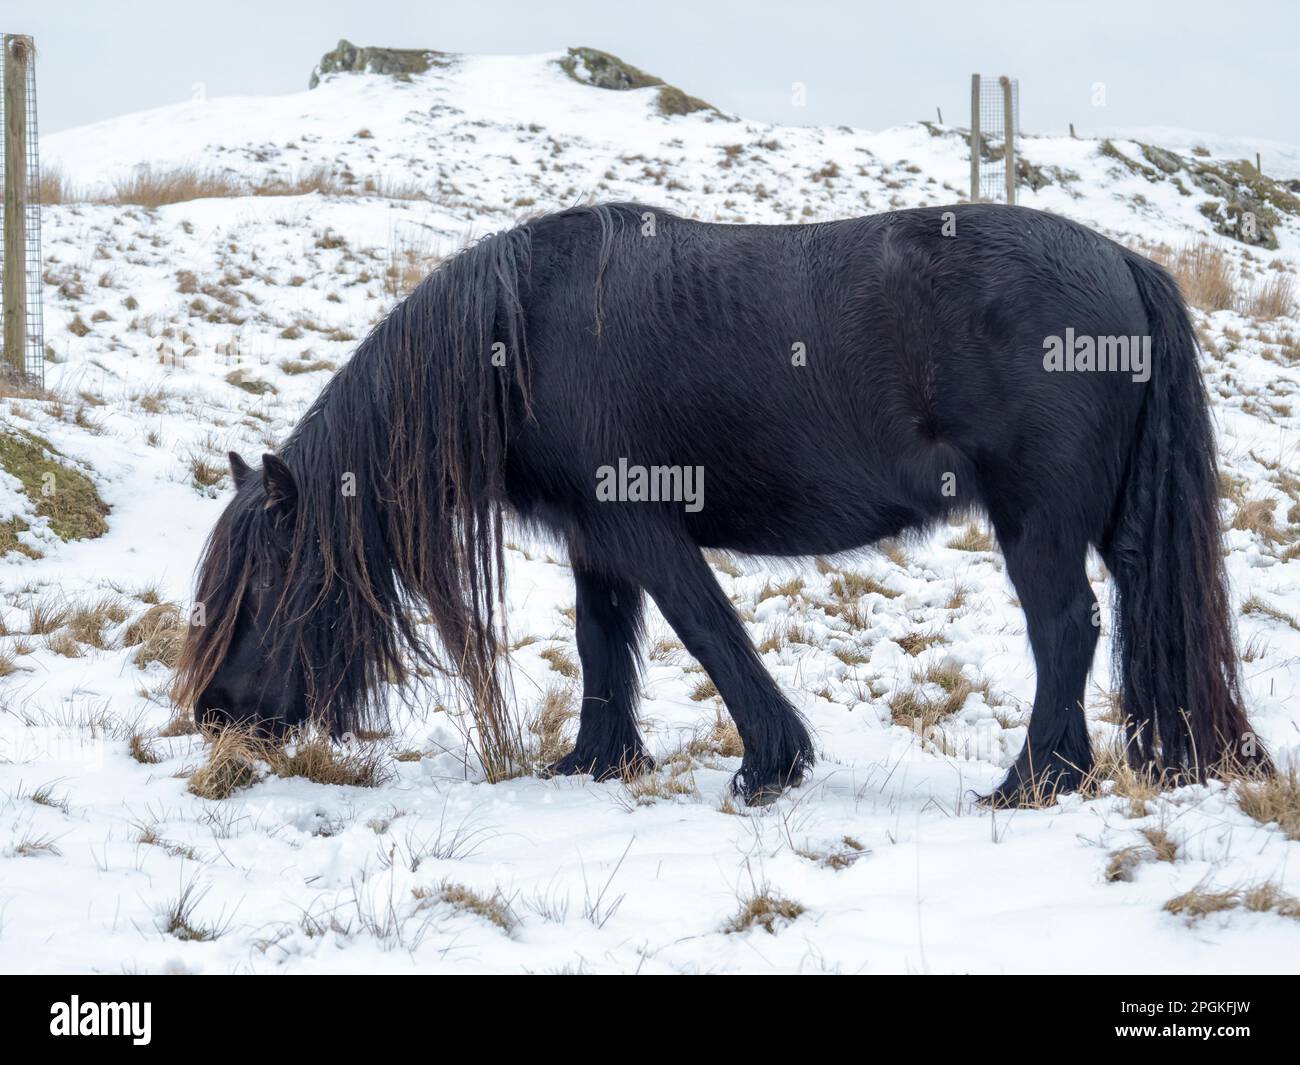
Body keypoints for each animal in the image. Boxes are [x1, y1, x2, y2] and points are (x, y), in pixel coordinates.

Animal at [173, 201, 1266, 806]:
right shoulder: (596, 540)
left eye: (262, 586)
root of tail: (1123, 264)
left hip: (1038, 525)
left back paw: (1034, 781)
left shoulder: (642, 524)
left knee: (1066, 631)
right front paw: (595, 761)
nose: (216, 711)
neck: (522, 335)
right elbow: (601, 644)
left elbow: (704, 628)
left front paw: (769, 765)